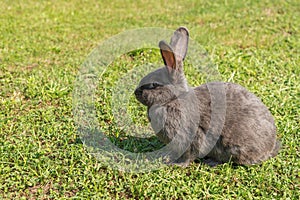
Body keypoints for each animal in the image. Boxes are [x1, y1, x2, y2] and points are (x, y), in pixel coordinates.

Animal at [135, 27, 280, 167]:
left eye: (153, 84)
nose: (136, 93)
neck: (173, 99)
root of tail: (270, 147)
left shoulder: (190, 136)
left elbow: (189, 154)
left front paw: (178, 164)